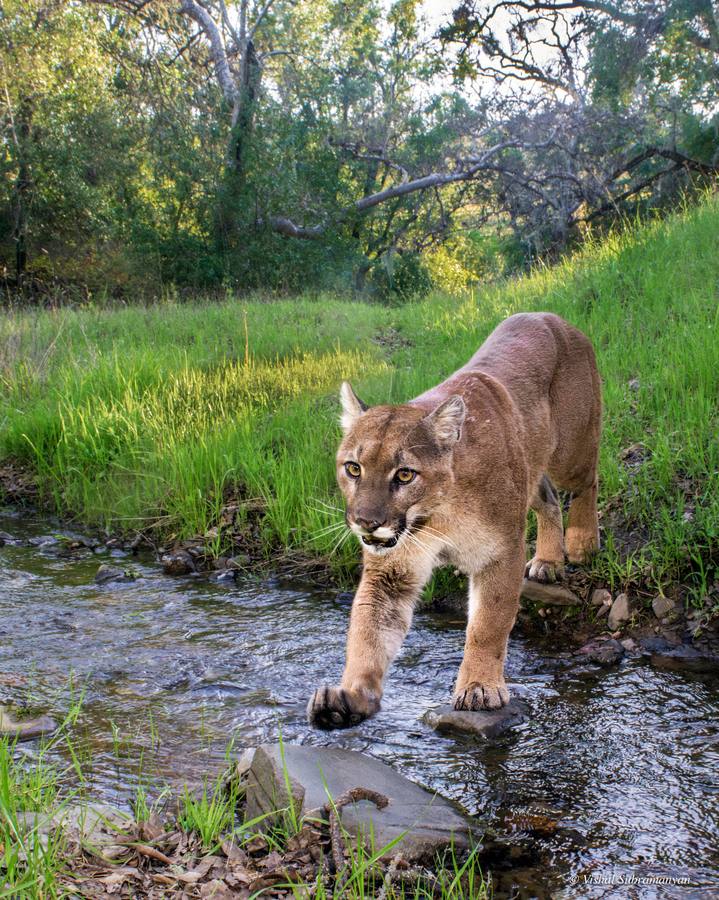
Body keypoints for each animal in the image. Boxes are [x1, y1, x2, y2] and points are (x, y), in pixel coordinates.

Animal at [308, 312, 601, 730]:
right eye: (353, 468)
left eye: (404, 475)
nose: (366, 522)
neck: (437, 515)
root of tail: (551, 316)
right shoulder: (392, 569)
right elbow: (369, 629)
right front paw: (351, 695)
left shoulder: (501, 553)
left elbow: (488, 625)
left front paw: (479, 688)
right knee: (545, 495)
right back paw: (547, 561)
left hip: (571, 450)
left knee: (587, 479)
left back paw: (581, 542)